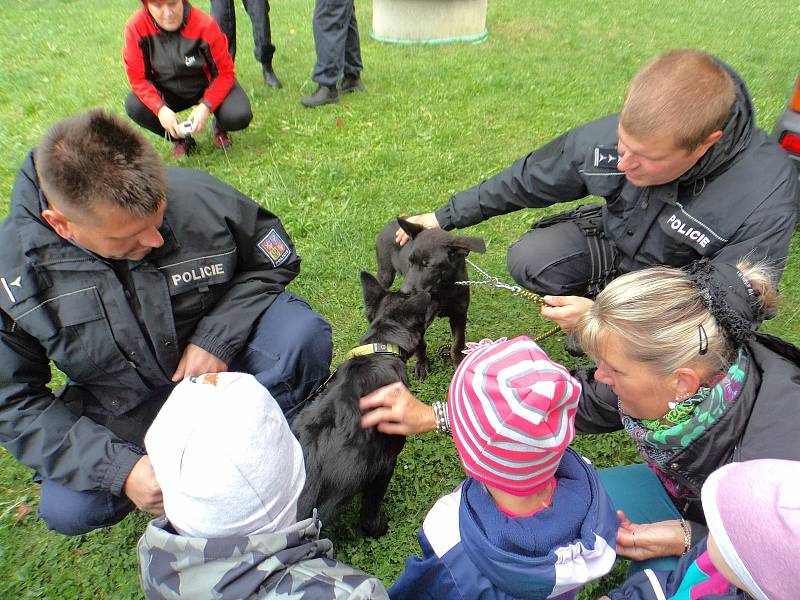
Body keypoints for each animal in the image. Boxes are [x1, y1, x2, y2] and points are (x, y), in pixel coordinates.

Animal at [376, 216, 484, 376]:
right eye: (410, 261)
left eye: (428, 265)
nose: (404, 291)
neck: (441, 290)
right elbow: (421, 344)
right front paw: (422, 365)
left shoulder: (459, 314)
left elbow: (458, 344)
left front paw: (459, 364)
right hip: (385, 273)